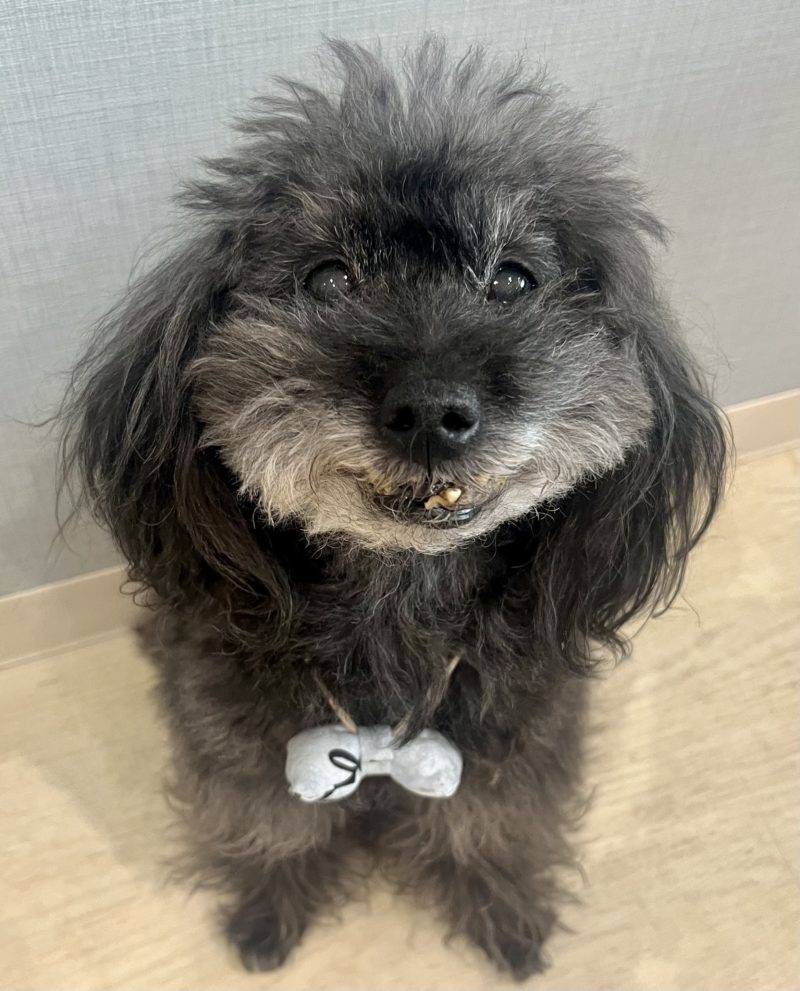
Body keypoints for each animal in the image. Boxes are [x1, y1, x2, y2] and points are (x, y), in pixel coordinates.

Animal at [61, 39, 727, 980]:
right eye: (328, 277)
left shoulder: (517, 728)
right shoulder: (239, 730)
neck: (399, 595)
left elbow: (494, 819)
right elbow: (274, 820)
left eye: (513, 279)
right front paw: (269, 911)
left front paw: (504, 912)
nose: (432, 410)